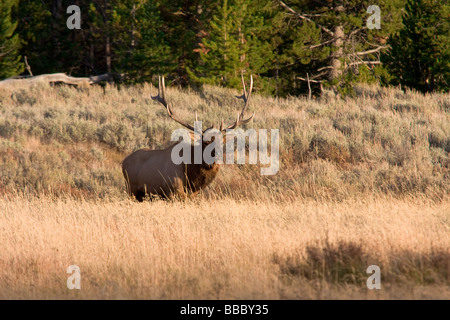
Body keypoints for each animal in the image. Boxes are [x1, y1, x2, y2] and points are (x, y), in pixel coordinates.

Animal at [121, 74, 255, 201]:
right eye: (205, 142)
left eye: (222, 142)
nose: (217, 155)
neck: (191, 180)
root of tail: (123, 162)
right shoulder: (172, 192)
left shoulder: (192, 195)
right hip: (131, 190)